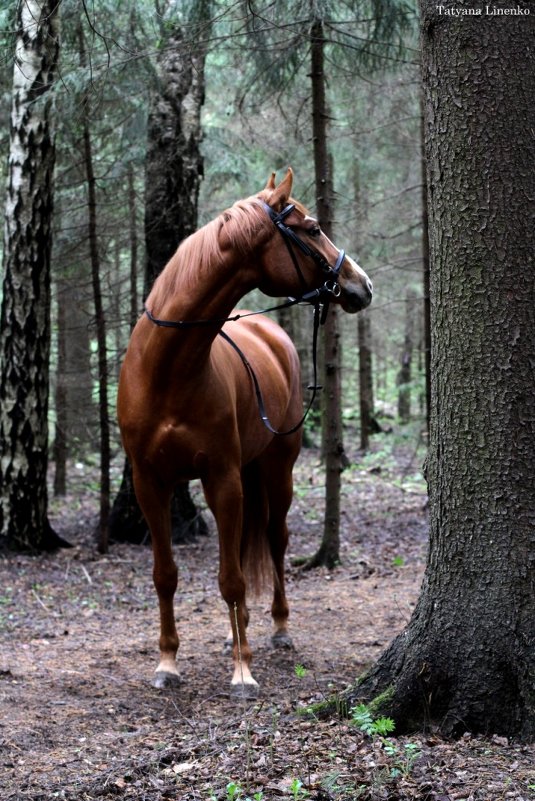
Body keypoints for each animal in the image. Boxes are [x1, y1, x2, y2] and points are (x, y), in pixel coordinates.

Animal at [117, 170, 372, 692]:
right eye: (313, 228)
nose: (362, 284)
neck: (167, 371)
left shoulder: (223, 478)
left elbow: (232, 578)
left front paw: (242, 670)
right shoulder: (151, 484)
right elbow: (165, 574)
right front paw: (167, 662)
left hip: (276, 471)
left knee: (274, 540)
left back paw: (276, 628)